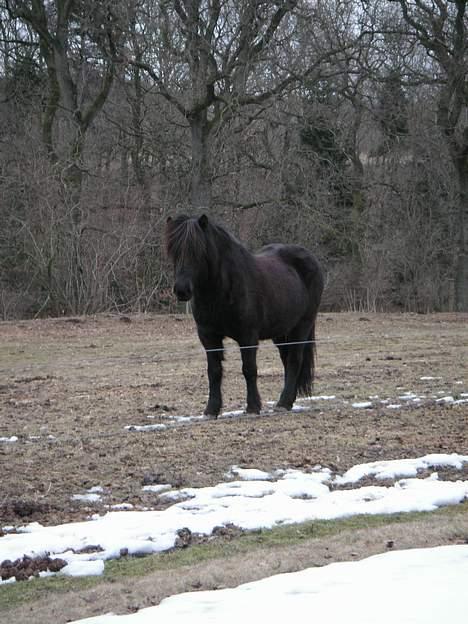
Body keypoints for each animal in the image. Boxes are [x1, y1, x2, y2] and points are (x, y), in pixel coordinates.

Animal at [166, 216, 324, 420]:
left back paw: (283, 403)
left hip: (302, 325)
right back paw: (288, 401)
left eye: (199, 251)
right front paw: (211, 410)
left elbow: (249, 369)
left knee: (294, 360)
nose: (182, 290)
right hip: (281, 332)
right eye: (173, 250)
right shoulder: (208, 336)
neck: (223, 289)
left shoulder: (248, 336)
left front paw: (253, 407)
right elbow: (214, 371)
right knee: (287, 361)